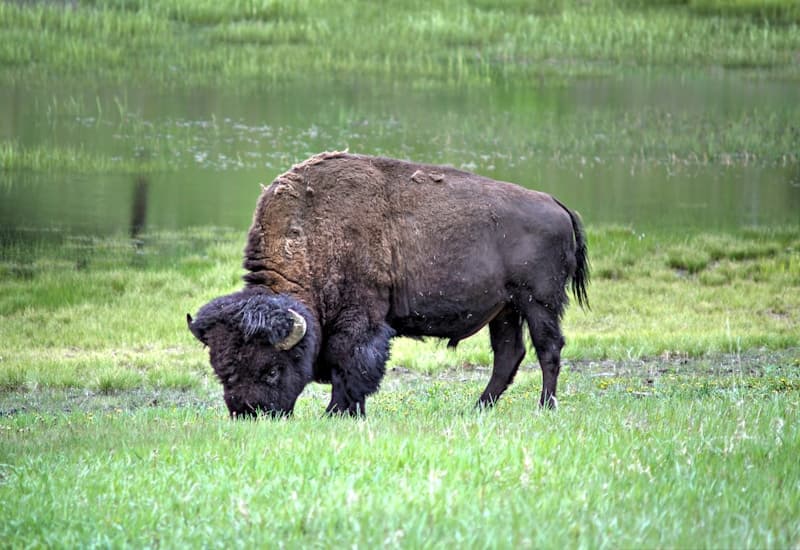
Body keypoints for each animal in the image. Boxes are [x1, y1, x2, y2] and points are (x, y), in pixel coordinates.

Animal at [188, 152, 588, 418]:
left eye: (272, 369)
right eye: (222, 369)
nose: (251, 413)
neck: (308, 235)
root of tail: (557, 205)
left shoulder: (360, 319)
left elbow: (350, 363)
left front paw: (337, 412)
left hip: (538, 303)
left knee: (548, 349)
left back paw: (544, 408)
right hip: (504, 309)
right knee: (509, 354)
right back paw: (477, 408)